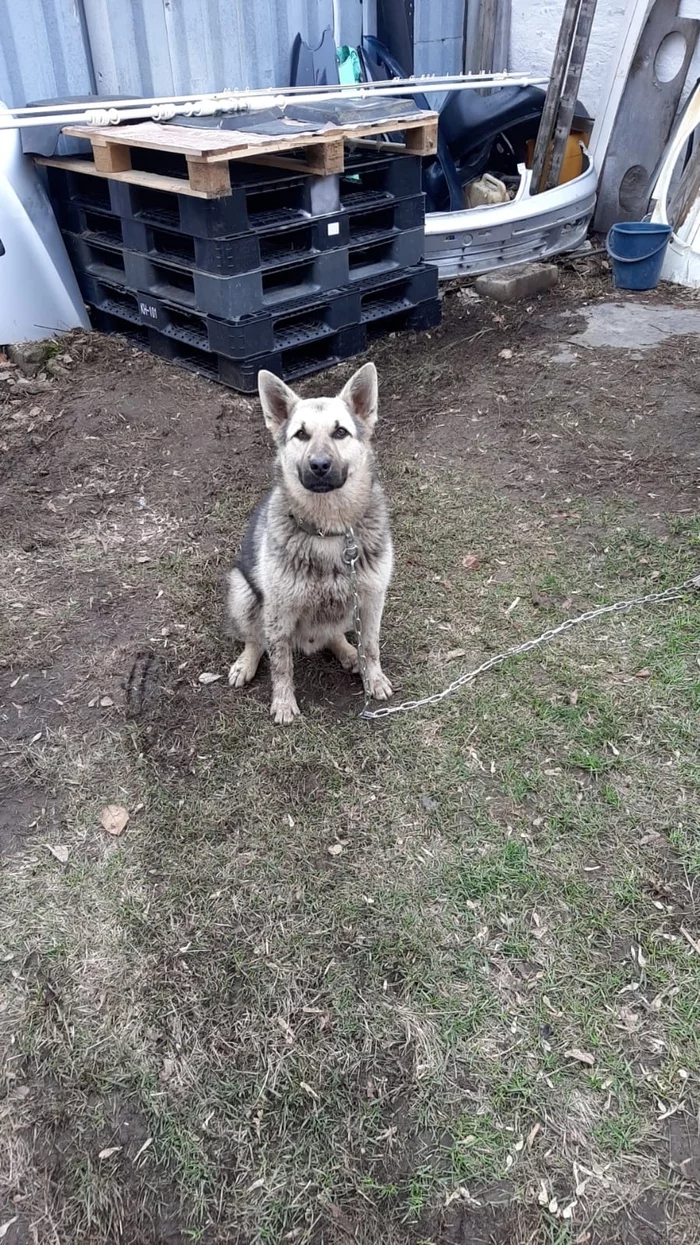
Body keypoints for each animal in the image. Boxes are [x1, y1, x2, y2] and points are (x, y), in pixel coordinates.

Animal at [227, 361, 393, 727]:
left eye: (340, 432)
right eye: (301, 434)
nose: (319, 466)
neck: (328, 531)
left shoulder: (371, 600)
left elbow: (371, 647)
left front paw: (372, 678)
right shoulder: (278, 611)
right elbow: (280, 664)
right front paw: (283, 701)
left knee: (335, 635)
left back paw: (348, 653)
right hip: (242, 592)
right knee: (255, 639)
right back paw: (247, 661)